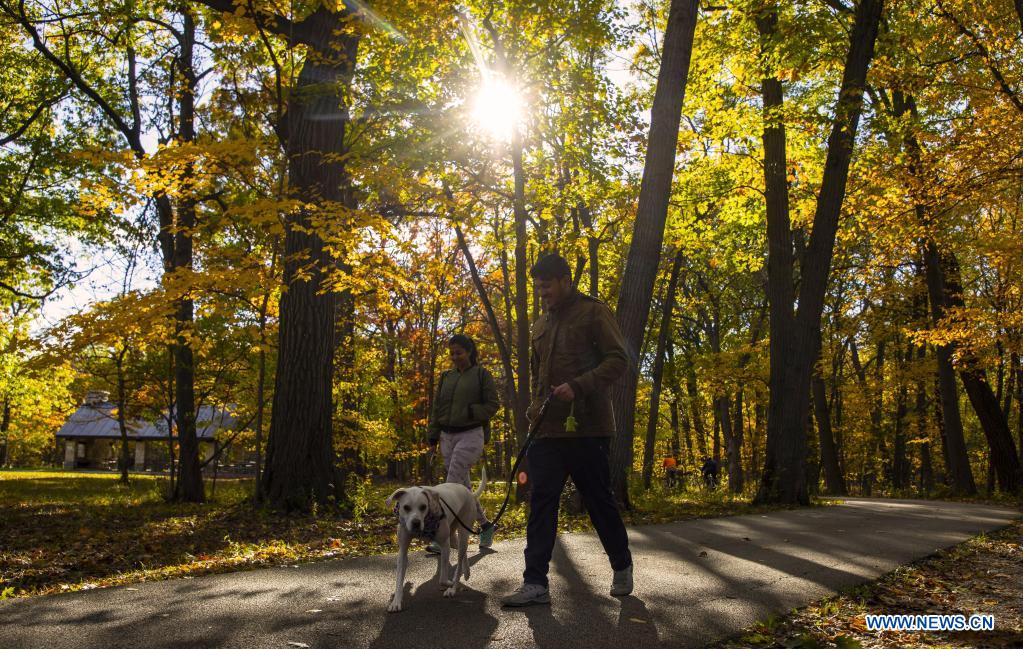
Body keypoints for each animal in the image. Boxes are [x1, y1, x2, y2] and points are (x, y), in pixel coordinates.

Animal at [385, 467, 490, 612]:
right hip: (453, 538)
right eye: (406, 507)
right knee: (462, 552)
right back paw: (467, 572)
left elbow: (442, 579)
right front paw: (396, 601)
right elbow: (399, 578)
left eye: (423, 507)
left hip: (463, 532)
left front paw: (450, 583)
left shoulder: (445, 545)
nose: (416, 523)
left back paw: (453, 588)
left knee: (459, 559)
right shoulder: (403, 550)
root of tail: (468, 492)